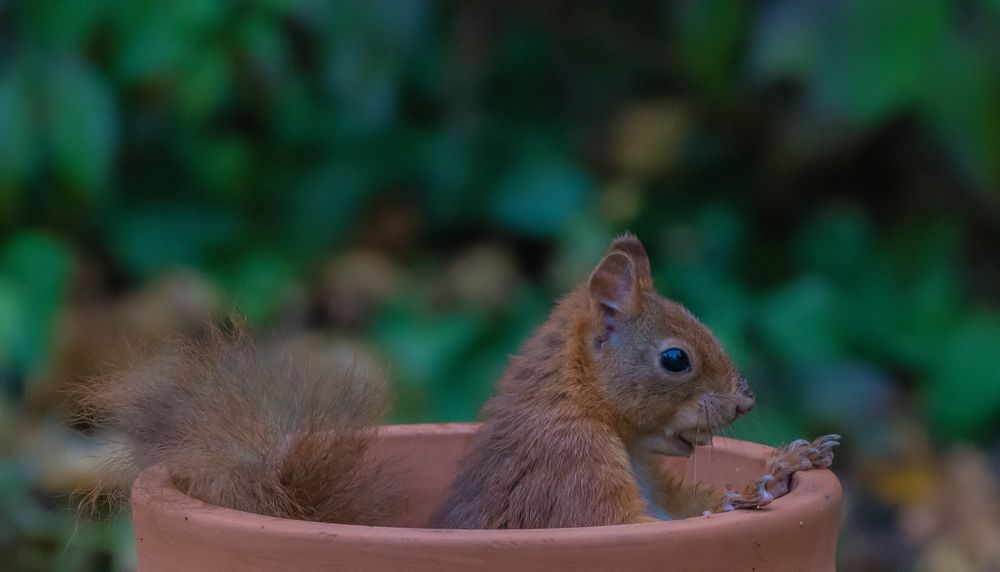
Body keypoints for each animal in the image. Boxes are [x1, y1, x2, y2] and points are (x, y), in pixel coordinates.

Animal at [84, 233, 836, 528]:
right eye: (675, 359)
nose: (745, 402)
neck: (588, 412)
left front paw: (787, 464)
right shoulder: (566, 475)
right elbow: (636, 524)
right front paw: (747, 498)